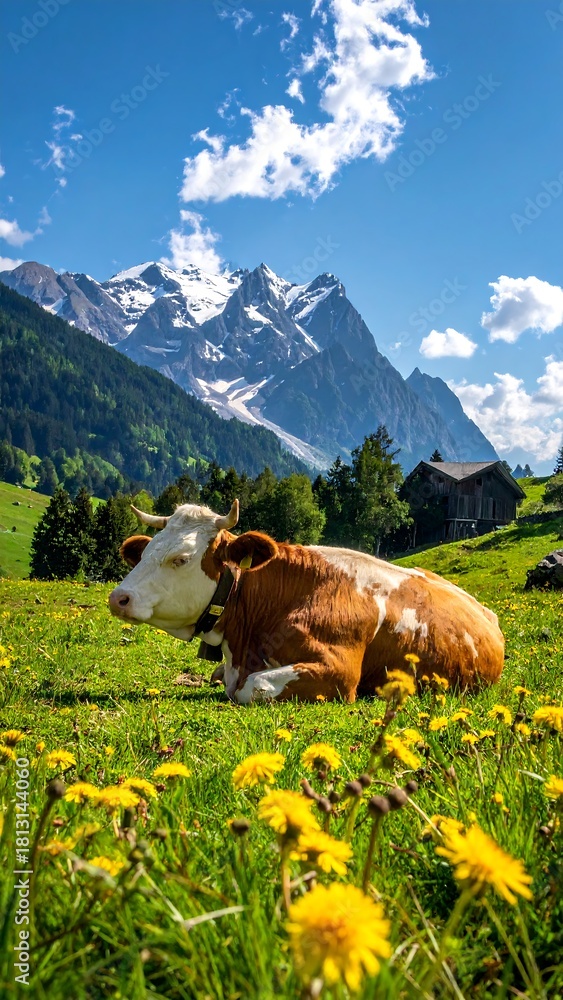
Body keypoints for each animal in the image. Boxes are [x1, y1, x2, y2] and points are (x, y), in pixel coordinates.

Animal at [108, 500, 504, 703]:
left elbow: (254, 687)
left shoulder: (341, 673)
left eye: (181, 559)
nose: (118, 598)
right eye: (147, 552)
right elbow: (221, 676)